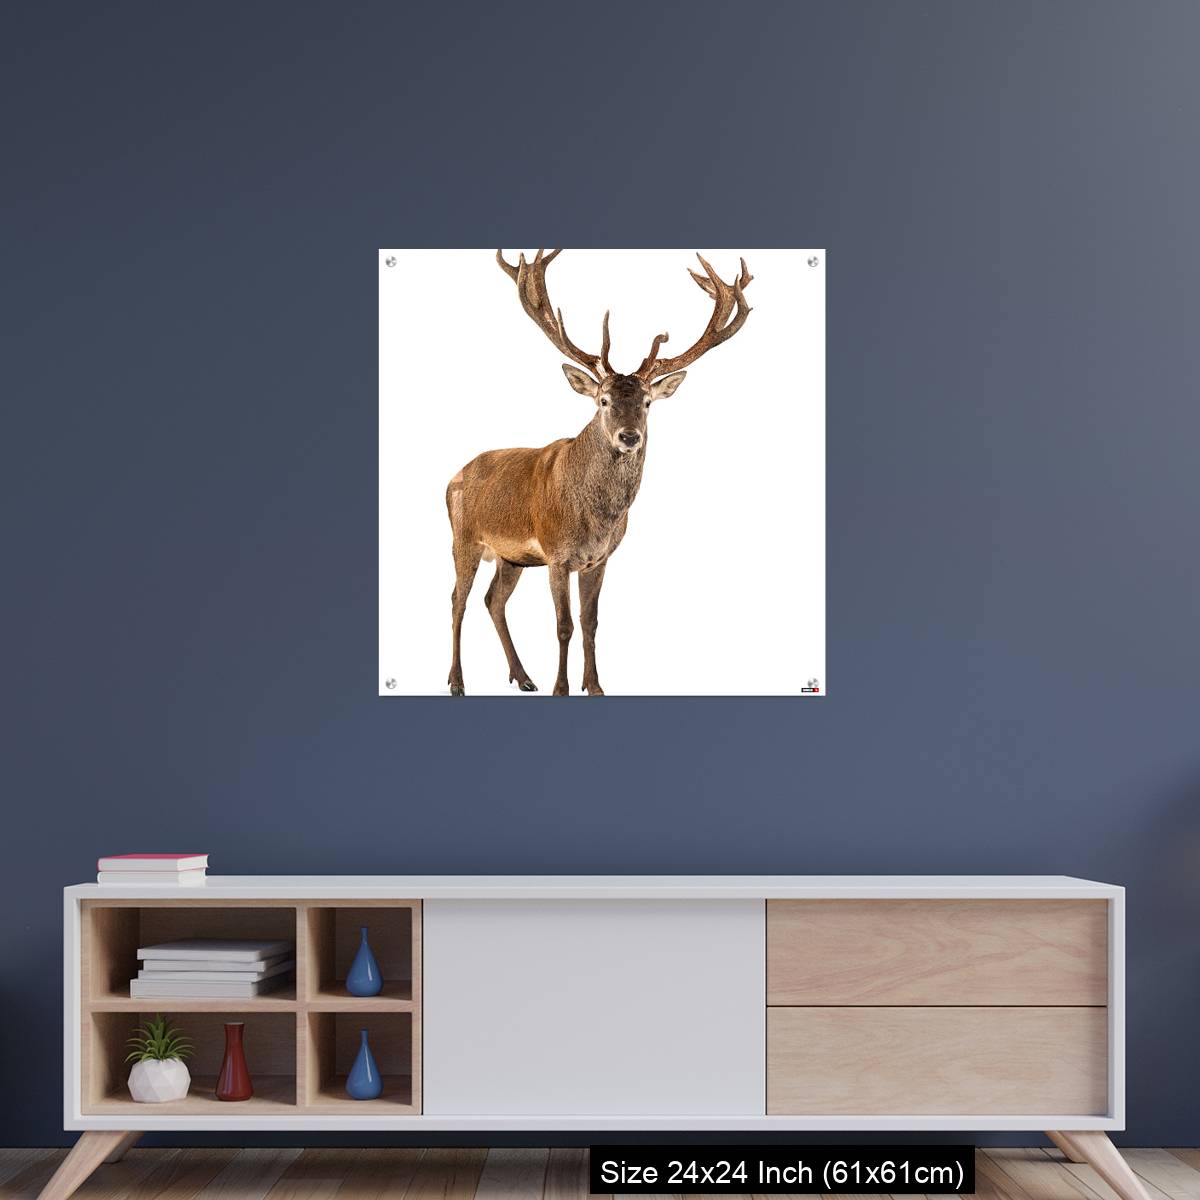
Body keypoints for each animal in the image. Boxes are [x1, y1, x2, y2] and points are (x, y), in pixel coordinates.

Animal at [445, 249, 753, 696]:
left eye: (647, 403)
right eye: (603, 400)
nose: (629, 436)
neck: (595, 519)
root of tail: (452, 477)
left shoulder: (599, 559)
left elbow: (590, 623)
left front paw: (595, 686)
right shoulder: (556, 554)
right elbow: (563, 625)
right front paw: (561, 688)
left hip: (511, 557)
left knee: (493, 600)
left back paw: (523, 677)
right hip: (464, 538)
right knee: (458, 599)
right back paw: (457, 681)